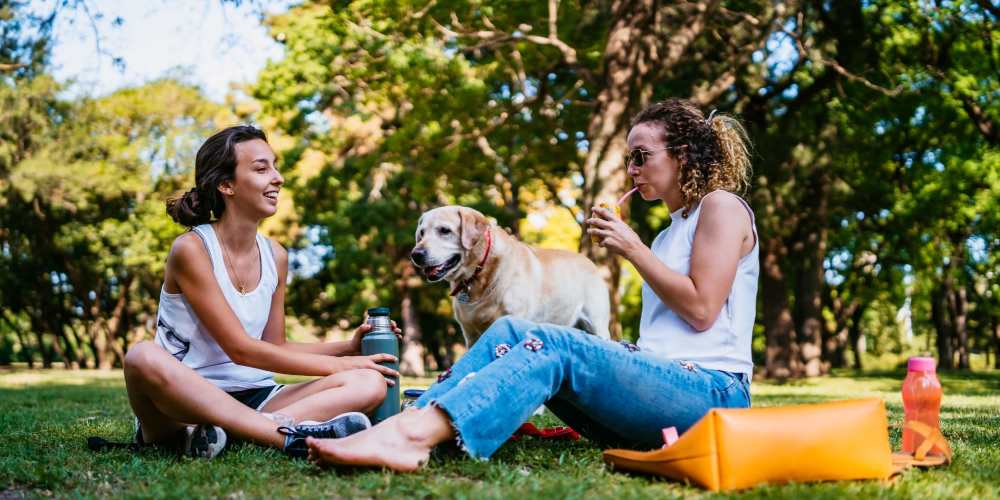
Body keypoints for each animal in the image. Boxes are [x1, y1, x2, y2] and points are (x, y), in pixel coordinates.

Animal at [410, 205, 612, 346]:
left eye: (445, 230)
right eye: (421, 233)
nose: (416, 254)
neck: (479, 275)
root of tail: (588, 261)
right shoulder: (470, 334)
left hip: (598, 324)